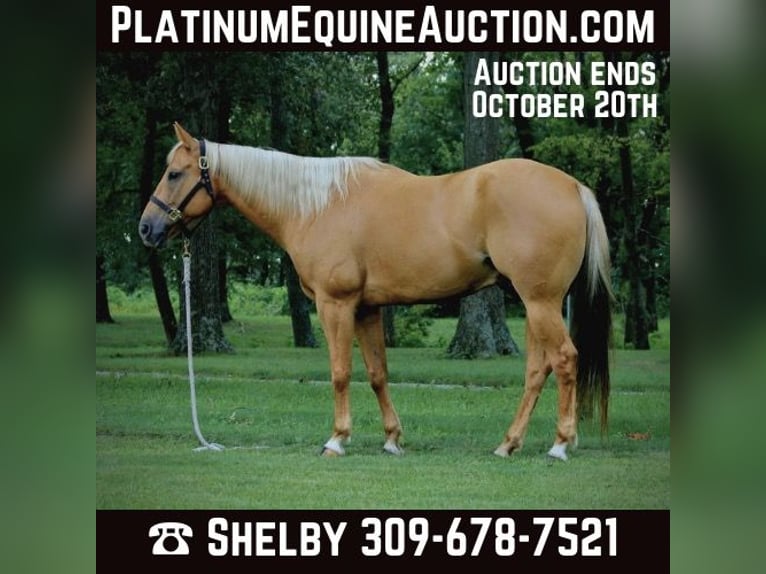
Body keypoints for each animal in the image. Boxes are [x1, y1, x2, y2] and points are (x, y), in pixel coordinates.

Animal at [139, 122, 613, 461]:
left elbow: (340, 372)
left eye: (174, 173)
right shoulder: (367, 309)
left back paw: (559, 444)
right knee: (537, 370)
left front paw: (336, 439)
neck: (316, 206)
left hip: (541, 303)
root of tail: (573, 186)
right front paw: (391, 439)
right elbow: (377, 374)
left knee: (564, 360)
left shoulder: (335, 305)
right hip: (536, 305)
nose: (147, 228)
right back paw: (508, 444)